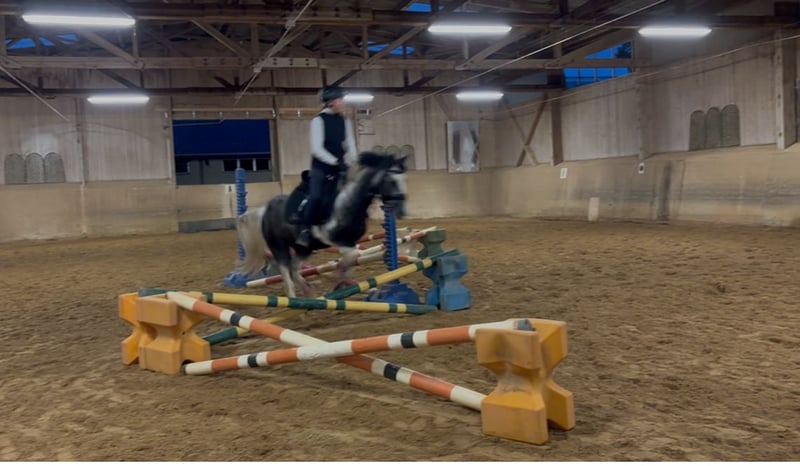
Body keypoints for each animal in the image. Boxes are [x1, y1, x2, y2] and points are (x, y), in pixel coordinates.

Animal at [234, 152, 408, 297]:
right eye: (391, 180)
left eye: (404, 180)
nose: (401, 210)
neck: (348, 205)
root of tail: (265, 209)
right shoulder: (336, 241)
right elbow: (350, 260)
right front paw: (335, 286)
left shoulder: (351, 242)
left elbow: (349, 264)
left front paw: (337, 286)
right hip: (279, 247)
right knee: (286, 274)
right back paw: (295, 300)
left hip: (303, 249)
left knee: (294, 269)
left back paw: (309, 293)